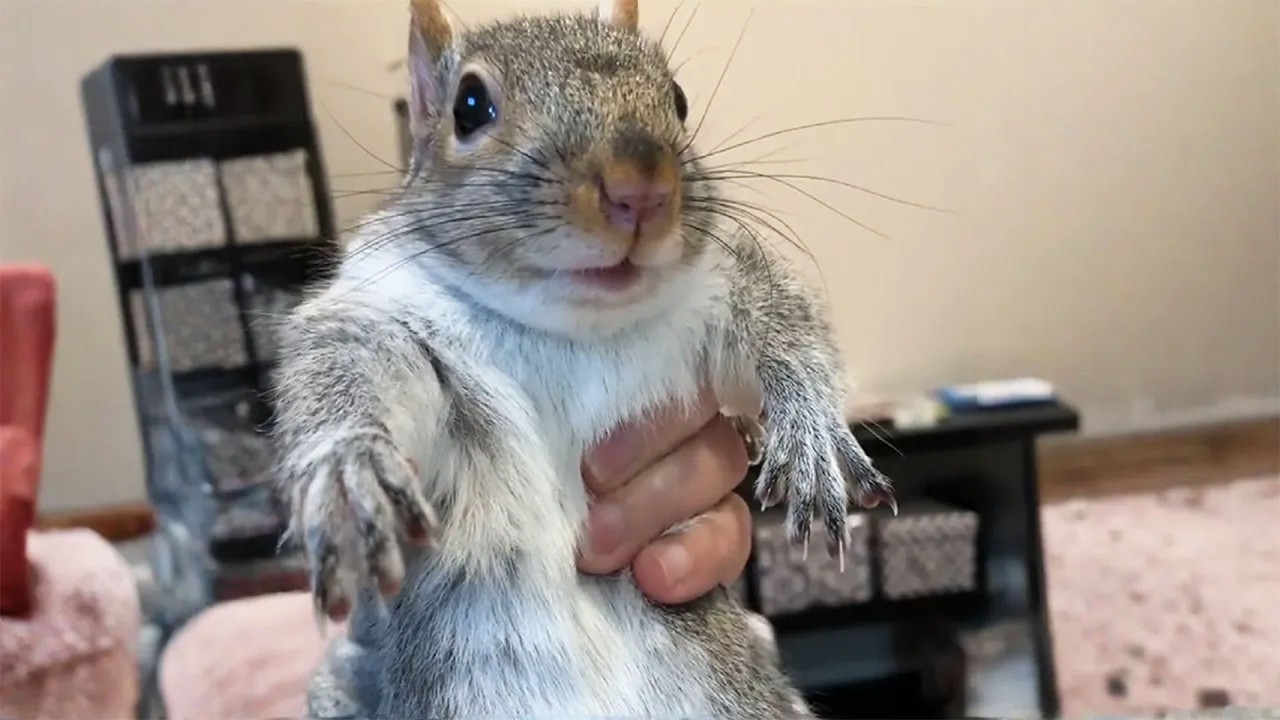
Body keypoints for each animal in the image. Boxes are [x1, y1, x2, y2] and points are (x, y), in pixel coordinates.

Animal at [270, 0, 896, 717]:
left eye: (678, 100)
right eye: (470, 106)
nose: (640, 188)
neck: (570, 328)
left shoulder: (725, 282)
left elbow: (786, 325)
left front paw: (812, 432)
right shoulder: (384, 311)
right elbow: (346, 363)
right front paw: (348, 470)